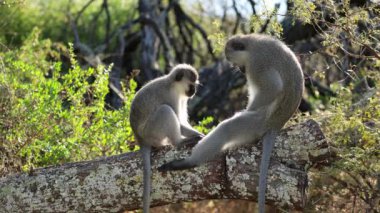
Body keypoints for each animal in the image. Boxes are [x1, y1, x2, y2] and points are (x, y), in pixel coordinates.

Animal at [129, 63, 203, 213]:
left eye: (195, 85)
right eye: (191, 85)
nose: (193, 91)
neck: (172, 84)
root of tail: (141, 139)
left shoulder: (182, 99)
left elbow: (183, 121)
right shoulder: (170, 96)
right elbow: (180, 123)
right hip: (151, 131)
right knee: (165, 110)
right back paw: (179, 141)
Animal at [159, 34, 304, 213]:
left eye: (235, 63)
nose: (241, 70)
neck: (252, 44)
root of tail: (275, 125)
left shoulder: (257, 64)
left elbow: (274, 88)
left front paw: (246, 110)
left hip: (255, 124)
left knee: (227, 128)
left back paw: (189, 162)